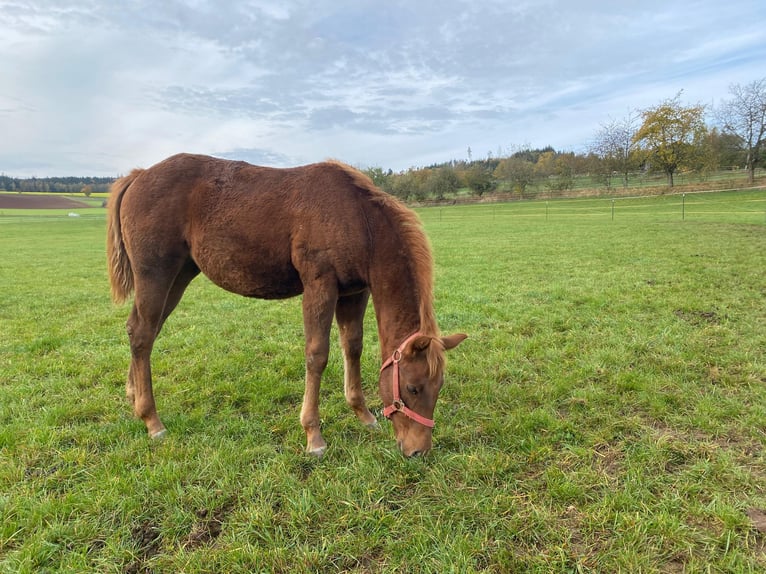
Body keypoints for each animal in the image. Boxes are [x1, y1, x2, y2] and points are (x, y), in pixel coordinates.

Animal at [106, 154, 468, 460]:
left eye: (438, 387)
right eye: (412, 387)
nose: (418, 451)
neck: (357, 218)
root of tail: (139, 176)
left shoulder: (354, 292)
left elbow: (352, 346)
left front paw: (363, 414)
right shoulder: (320, 286)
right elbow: (317, 355)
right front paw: (314, 436)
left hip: (179, 276)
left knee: (144, 331)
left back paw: (134, 397)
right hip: (156, 275)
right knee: (142, 333)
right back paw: (152, 421)